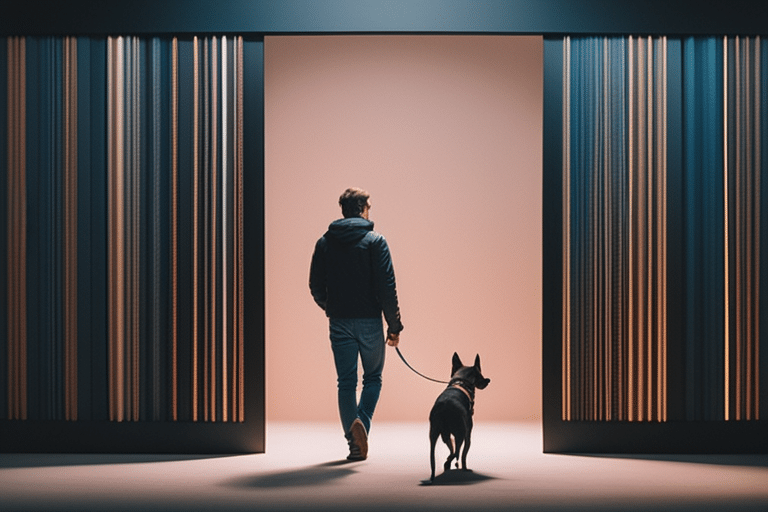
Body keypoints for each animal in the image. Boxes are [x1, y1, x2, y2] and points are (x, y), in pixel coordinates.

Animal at [428, 354, 488, 482]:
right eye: (481, 375)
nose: (488, 381)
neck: (461, 381)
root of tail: (444, 407)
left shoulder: (447, 436)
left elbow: (451, 448)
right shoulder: (468, 434)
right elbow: (463, 454)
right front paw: (464, 468)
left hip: (434, 434)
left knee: (434, 458)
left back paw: (435, 475)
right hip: (460, 433)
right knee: (457, 452)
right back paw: (448, 464)